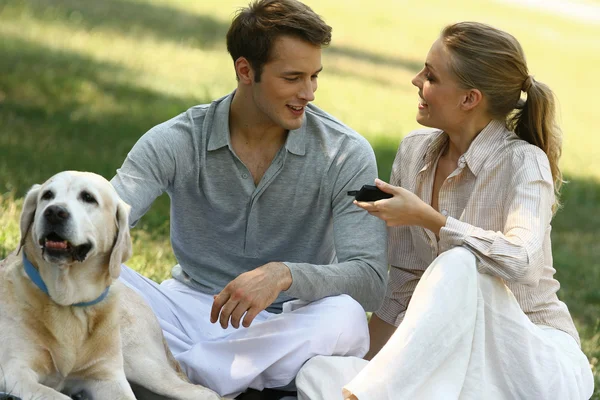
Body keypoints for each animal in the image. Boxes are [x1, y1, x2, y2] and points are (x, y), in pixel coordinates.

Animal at [0, 172, 223, 400]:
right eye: (47, 195)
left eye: (88, 197)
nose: (54, 212)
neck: (70, 303)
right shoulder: (15, 372)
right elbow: (57, 396)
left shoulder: (108, 377)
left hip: (142, 364)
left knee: (206, 393)